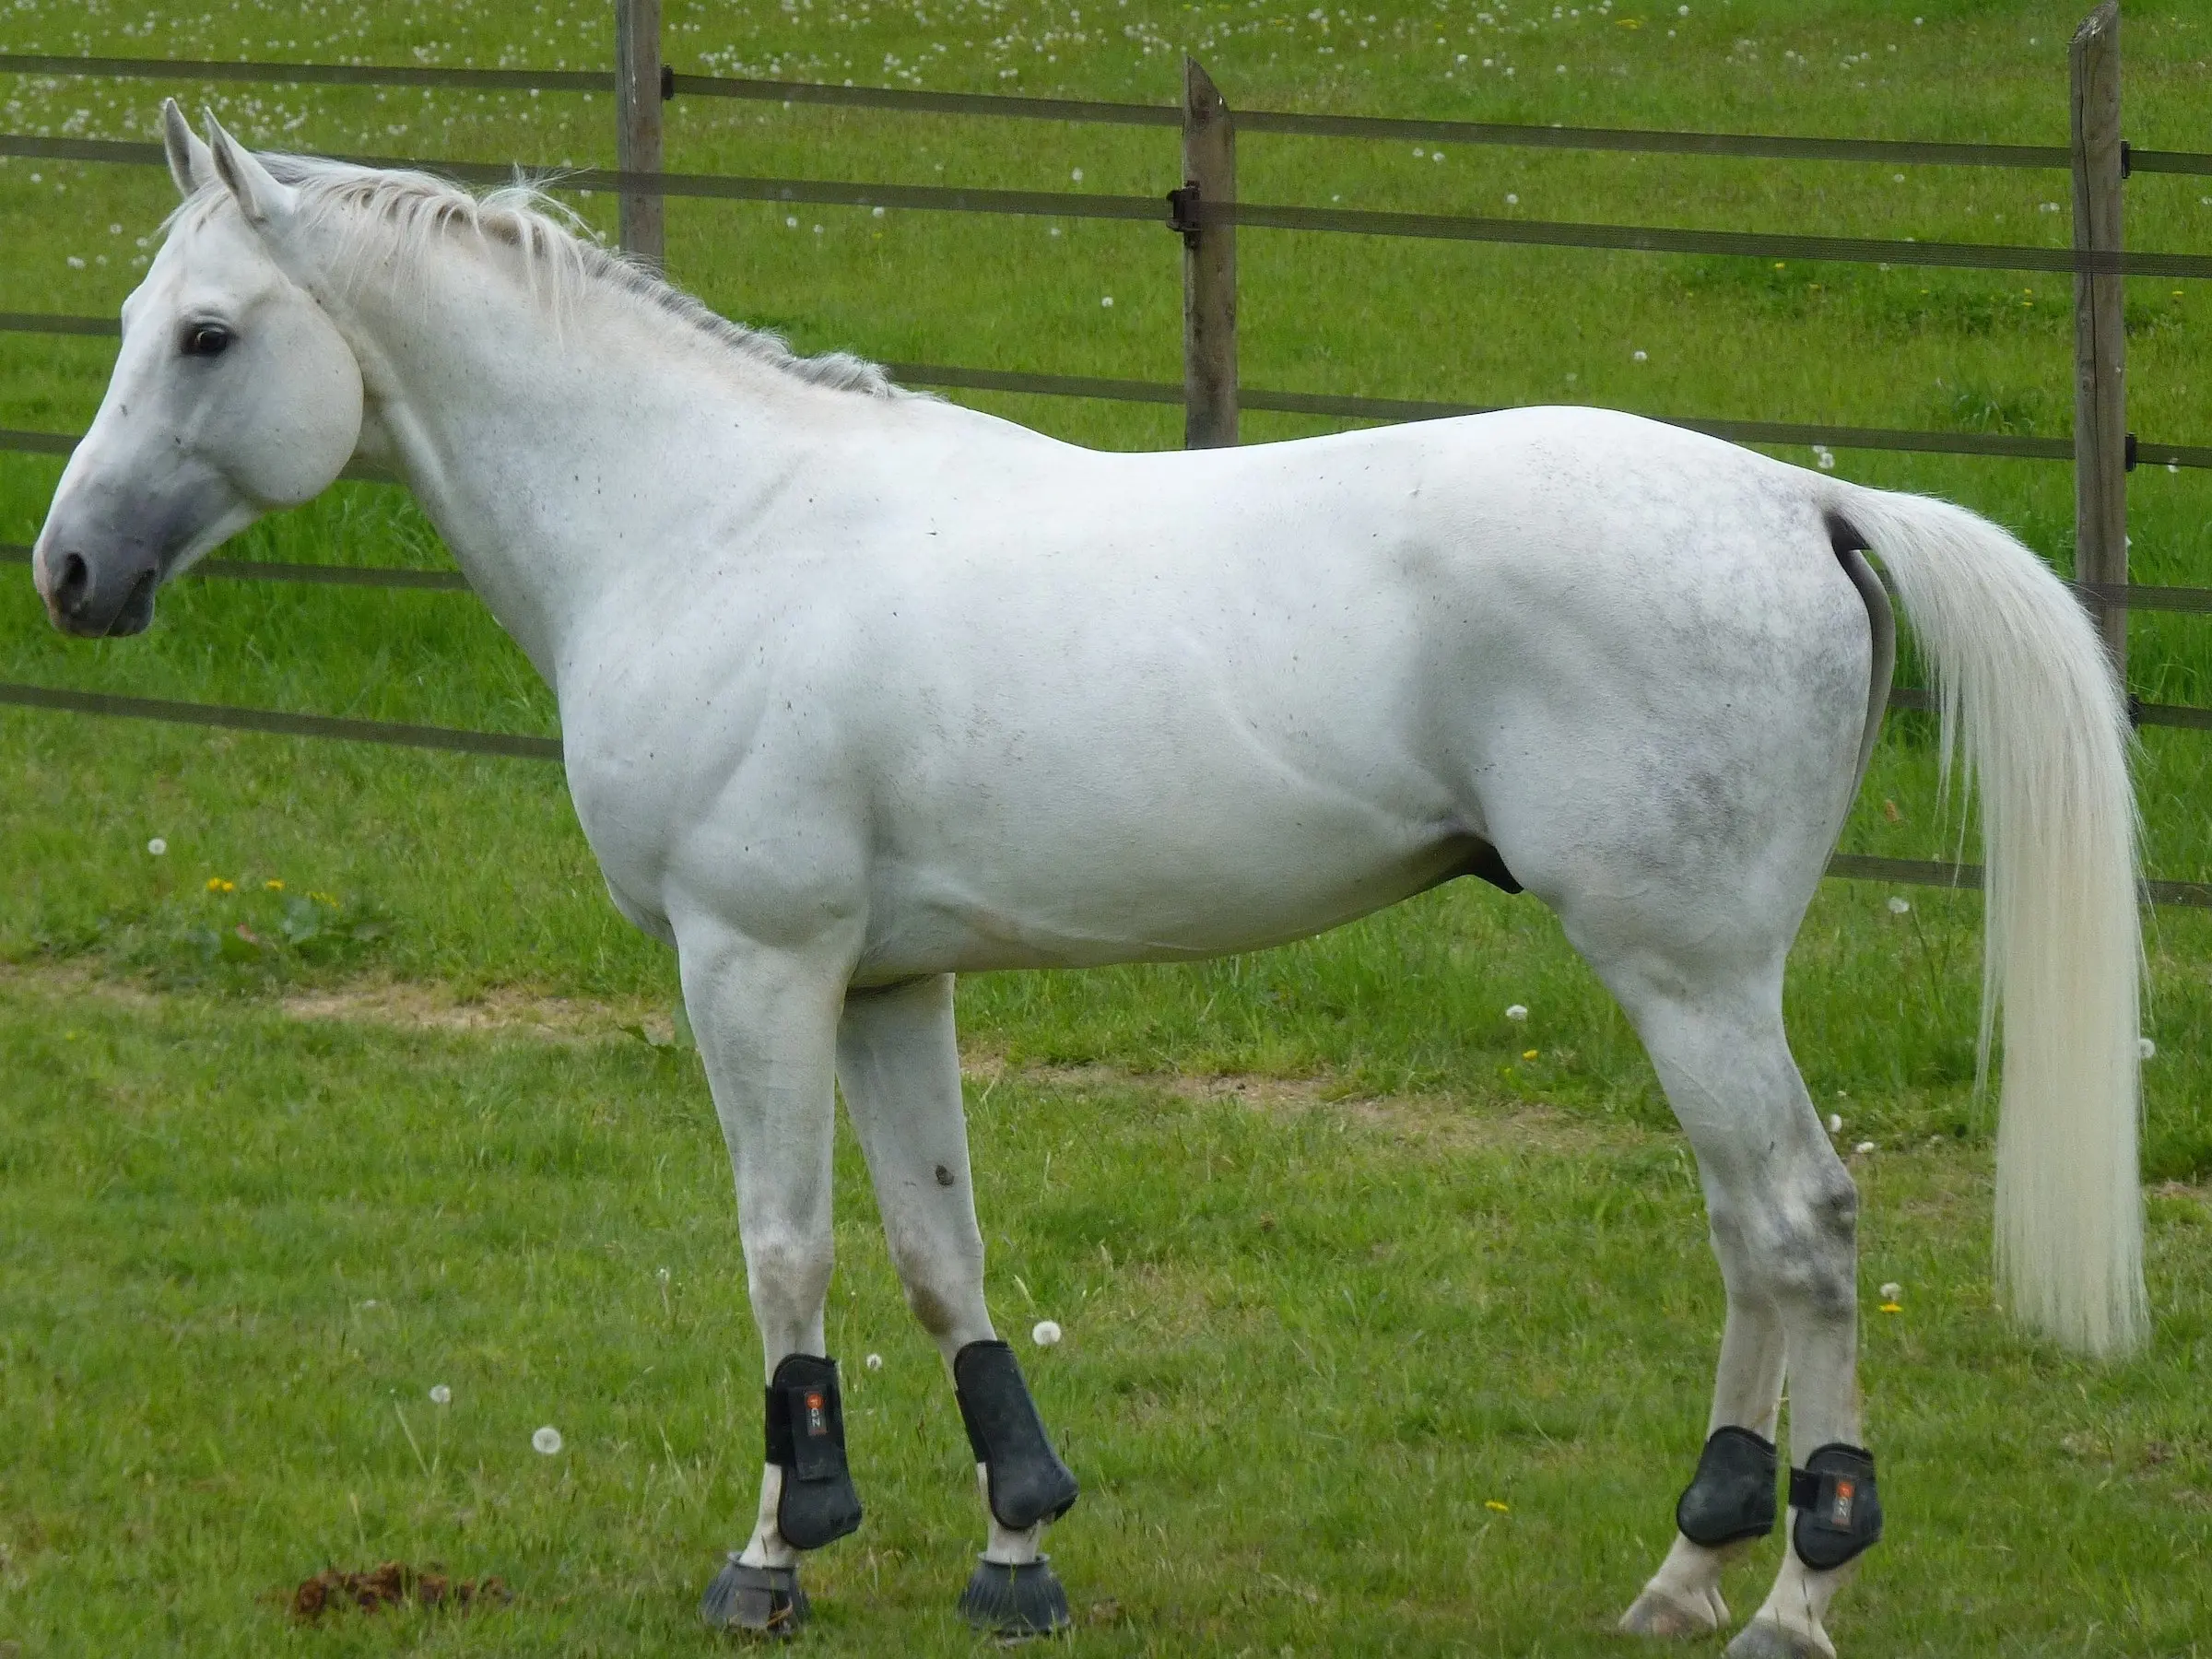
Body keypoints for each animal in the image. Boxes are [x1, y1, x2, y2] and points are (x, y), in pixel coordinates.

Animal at [29, 105, 2145, 1657]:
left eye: (206, 335)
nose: (66, 569)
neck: (707, 520)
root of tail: (1802, 497)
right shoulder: (887, 983)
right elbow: (935, 1254)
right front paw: (1016, 1546)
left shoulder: (755, 965)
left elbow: (782, 1247)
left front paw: (774, 1556)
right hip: (1690, 981)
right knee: (1747, 1235)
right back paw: (1686, 1568)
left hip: (1685, 972)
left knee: (1799, 1222)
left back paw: (1792, 1595)